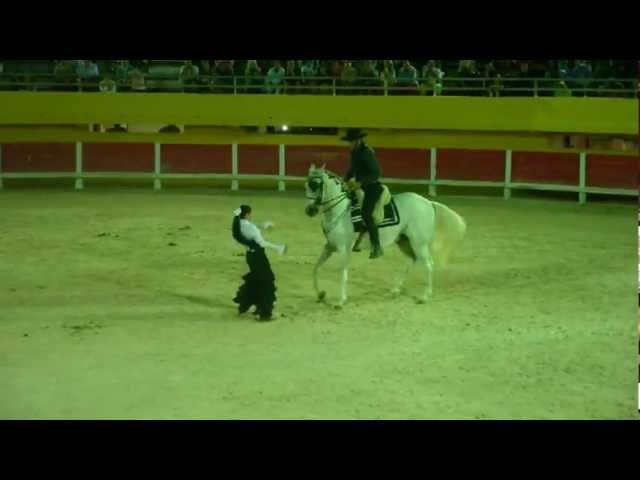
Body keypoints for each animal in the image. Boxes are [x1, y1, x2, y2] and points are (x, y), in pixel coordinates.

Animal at [302, 164, 468, 308]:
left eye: (315, 184)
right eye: (306, 185)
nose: (309, 210)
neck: (340, 211)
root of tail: (428, 202)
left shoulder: (344, 249)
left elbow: (342, 273)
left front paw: (340, 301)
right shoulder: (329, 246)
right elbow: (315, 268)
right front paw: (321, 294)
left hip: (419, 243)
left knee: (428, 264)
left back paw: (424, 296)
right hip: (404, 241)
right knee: (411, 260)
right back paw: (395, 290)